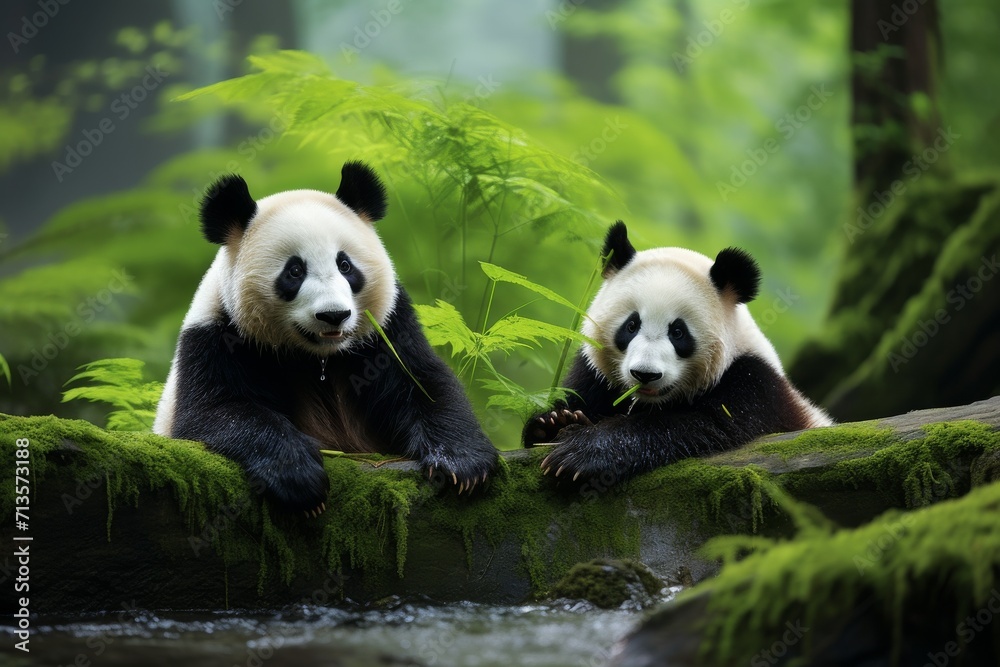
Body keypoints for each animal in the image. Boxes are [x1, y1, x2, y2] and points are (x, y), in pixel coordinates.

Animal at [154, 162, 497, 515]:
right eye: (294, 271)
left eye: (345, 265)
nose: (334, 315)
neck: (318, 356)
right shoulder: (217, 337)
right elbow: (215, 413)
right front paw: (299, 479)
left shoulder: (387, 329)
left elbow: (423, 382)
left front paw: (461, 464)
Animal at [523, 221, 831, 484]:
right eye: (631, 325)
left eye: (678, 332)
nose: (644, 374)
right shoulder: (594, 374)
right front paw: (554, 423)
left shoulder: (753, 383)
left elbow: (700, 424)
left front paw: (581, 454)